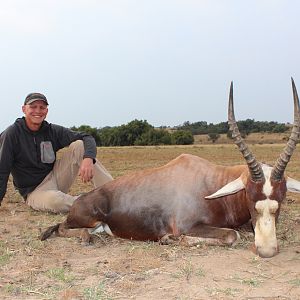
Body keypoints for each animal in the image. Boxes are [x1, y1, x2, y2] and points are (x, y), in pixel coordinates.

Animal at [41, 79, 300, 258]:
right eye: (249, 194)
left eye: (282, 199)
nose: (266, 251)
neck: (211, 183)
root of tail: (79, 201)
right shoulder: (189, 225)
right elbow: (231, 234)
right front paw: (169, 240)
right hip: (88, 220)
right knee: (62, 227)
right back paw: (85, 238)